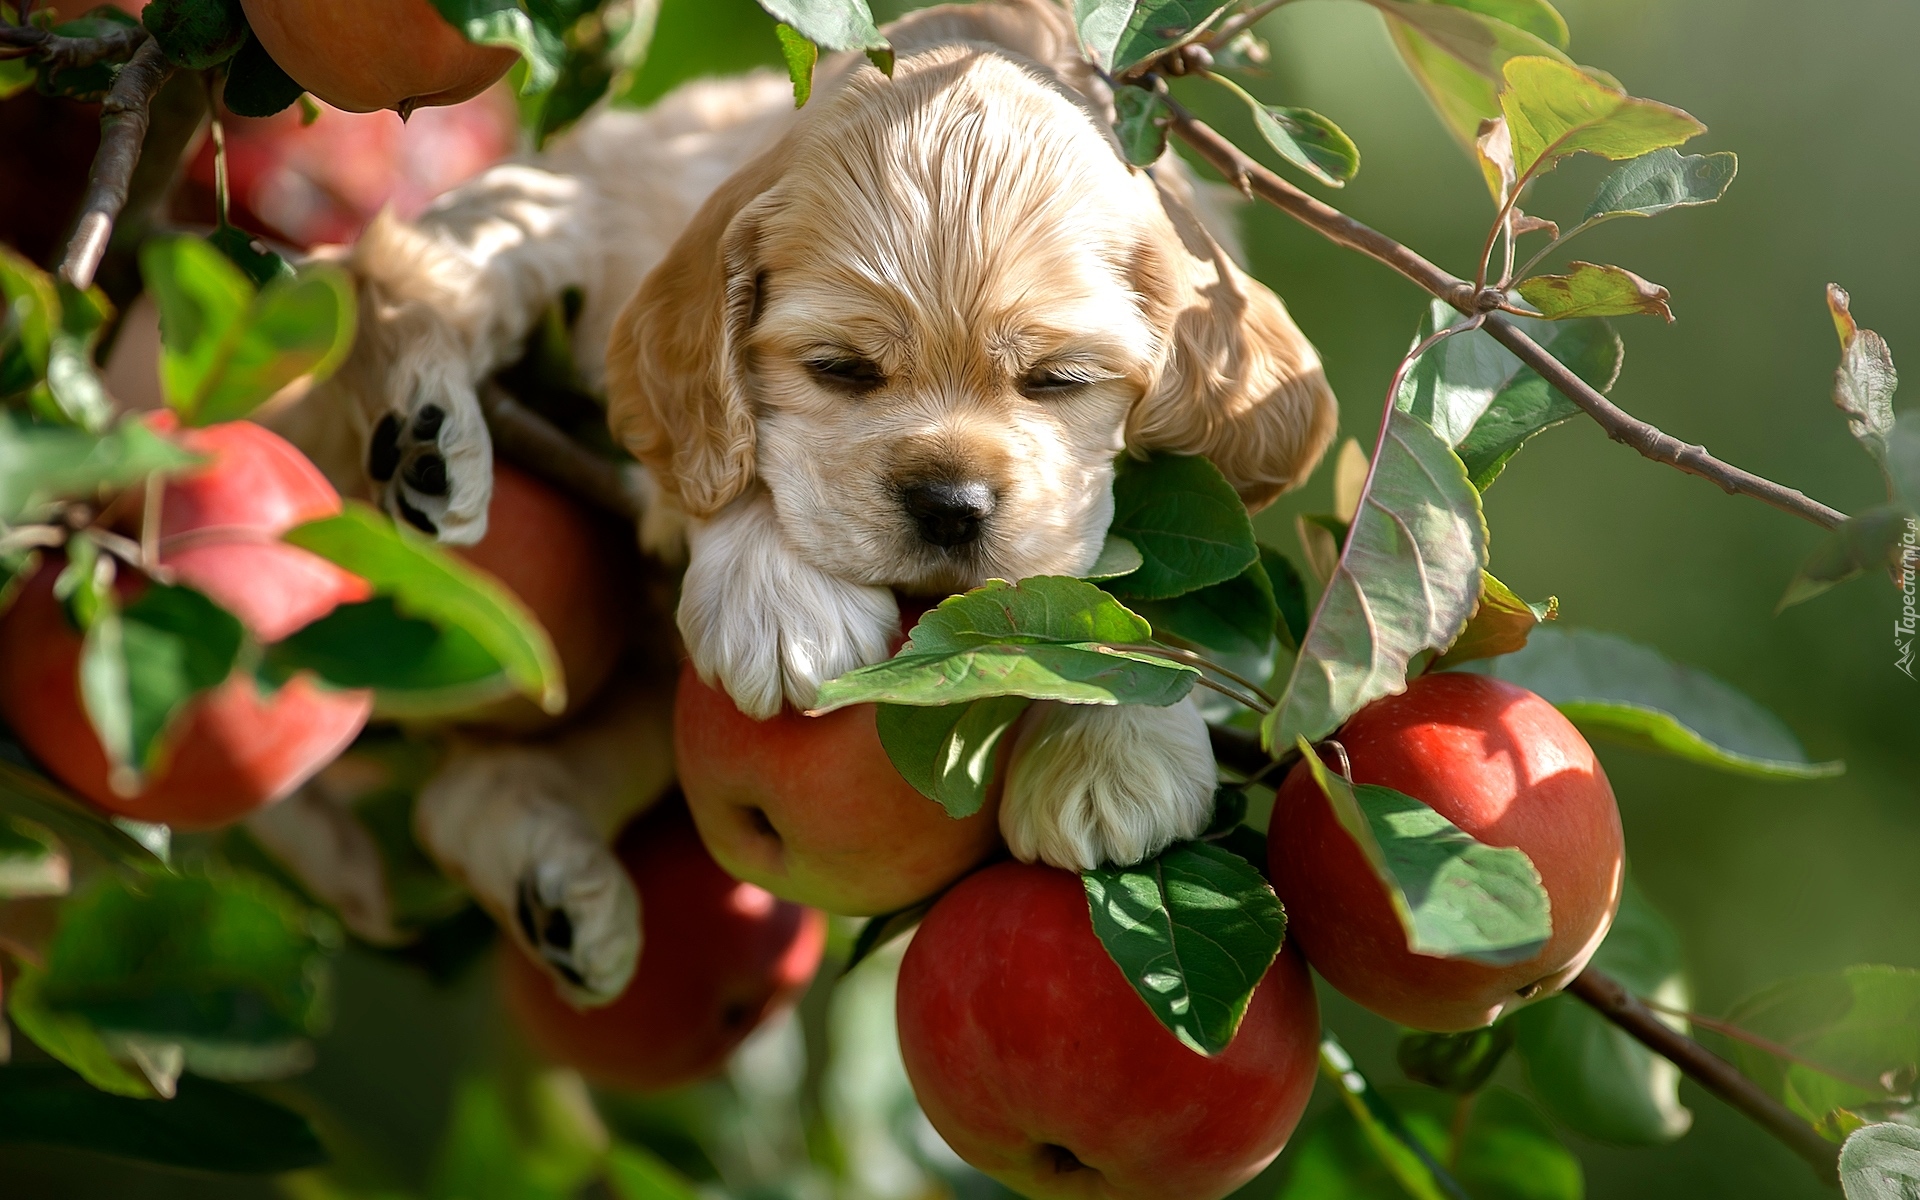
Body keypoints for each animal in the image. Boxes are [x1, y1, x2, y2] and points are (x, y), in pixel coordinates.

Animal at [288, 0, 1336, 990]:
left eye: (1057, 381)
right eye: (840, 370)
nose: (949, 503)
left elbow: (1149, 604)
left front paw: (1113, 755)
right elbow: (745, 459)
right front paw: (782, 605)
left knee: (465, 796)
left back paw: (556, 899)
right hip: (530, 218)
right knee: (400, 272)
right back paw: (424, 444)